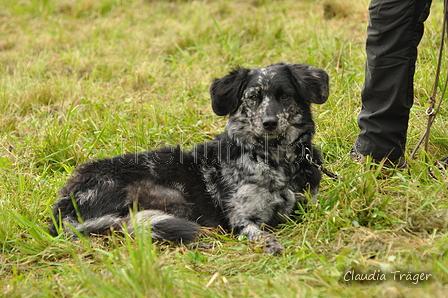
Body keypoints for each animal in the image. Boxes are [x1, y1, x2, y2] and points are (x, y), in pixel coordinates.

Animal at [50, 62, 328, 254]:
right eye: (253, 97)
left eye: (285, 95)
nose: (269, 123)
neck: (275, 160)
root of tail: (63, 209)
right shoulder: (243, 219)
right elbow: (262, 235)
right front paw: (272, 245)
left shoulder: (308, 202)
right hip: (172, 198)